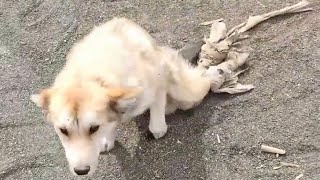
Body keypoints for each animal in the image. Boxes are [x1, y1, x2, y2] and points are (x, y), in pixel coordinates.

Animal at [30, 17, 222, 175]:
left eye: (93, 128)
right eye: (63, 130)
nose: (81, 171)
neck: (89, 76)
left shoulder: (157, 75)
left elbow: (156, 114)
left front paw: (158, 127)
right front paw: (108, 138)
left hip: (183, 88)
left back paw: (214, 76)